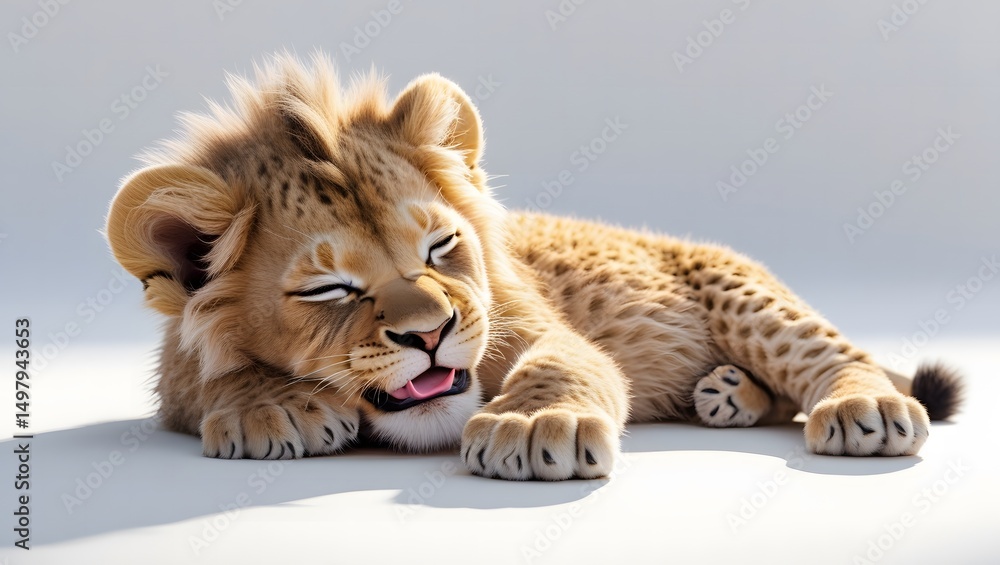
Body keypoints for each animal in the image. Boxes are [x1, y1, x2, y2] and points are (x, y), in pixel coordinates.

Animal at [105, 53, 963, 480]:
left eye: (439, 248)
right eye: (330, 289)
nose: (432, 333)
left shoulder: (529, 321)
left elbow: (563, 362)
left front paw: (532, 424)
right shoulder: (175, 367)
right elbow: (201, 377)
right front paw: (269, 406)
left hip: (744, 292)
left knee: (840, 357)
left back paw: (860, 406)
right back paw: (728, 394)